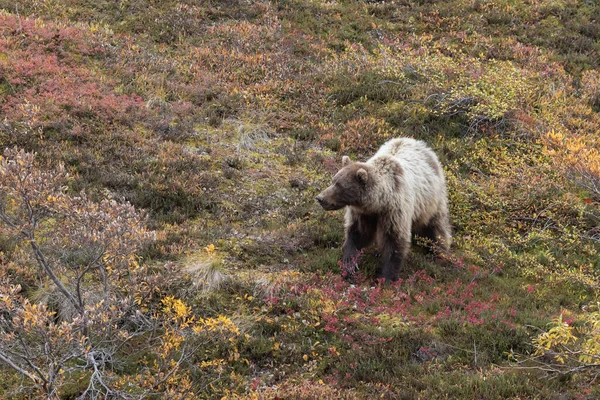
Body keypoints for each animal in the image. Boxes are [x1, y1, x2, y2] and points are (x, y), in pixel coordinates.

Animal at [318, 138, 450, 282]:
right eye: (333, 181)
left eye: (339, 186)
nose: (320, 198)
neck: (379, 203)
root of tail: (420, 143)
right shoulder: (363, 213)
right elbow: (357, 233)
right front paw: (349, 264)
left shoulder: (394, 211)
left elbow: (394, 243)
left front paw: (387, 278)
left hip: (432, 200)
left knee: (437, 227)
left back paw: (439, 254)